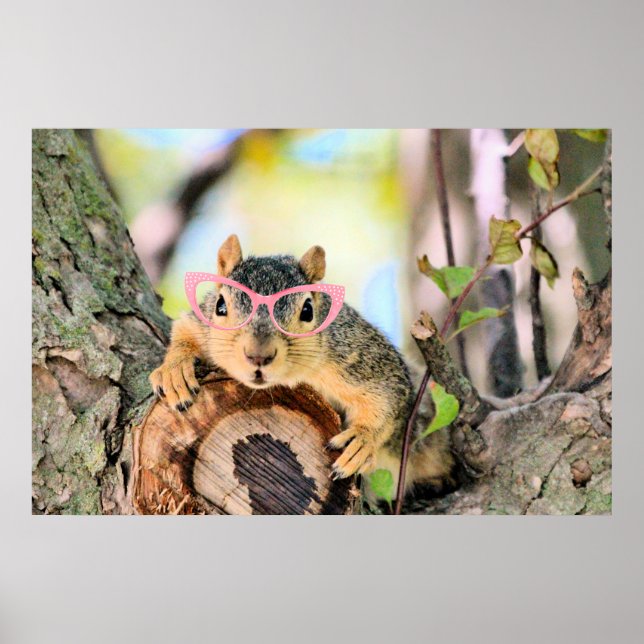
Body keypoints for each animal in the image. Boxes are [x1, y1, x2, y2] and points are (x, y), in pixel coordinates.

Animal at [150, 234, 455, 501]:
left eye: (307, 310)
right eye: (221, 306)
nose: (258, 356)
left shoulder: (359, 356)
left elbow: (388, 394)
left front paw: (362, 440)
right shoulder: (202, 323)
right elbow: (185, 329)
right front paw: (175, 370)